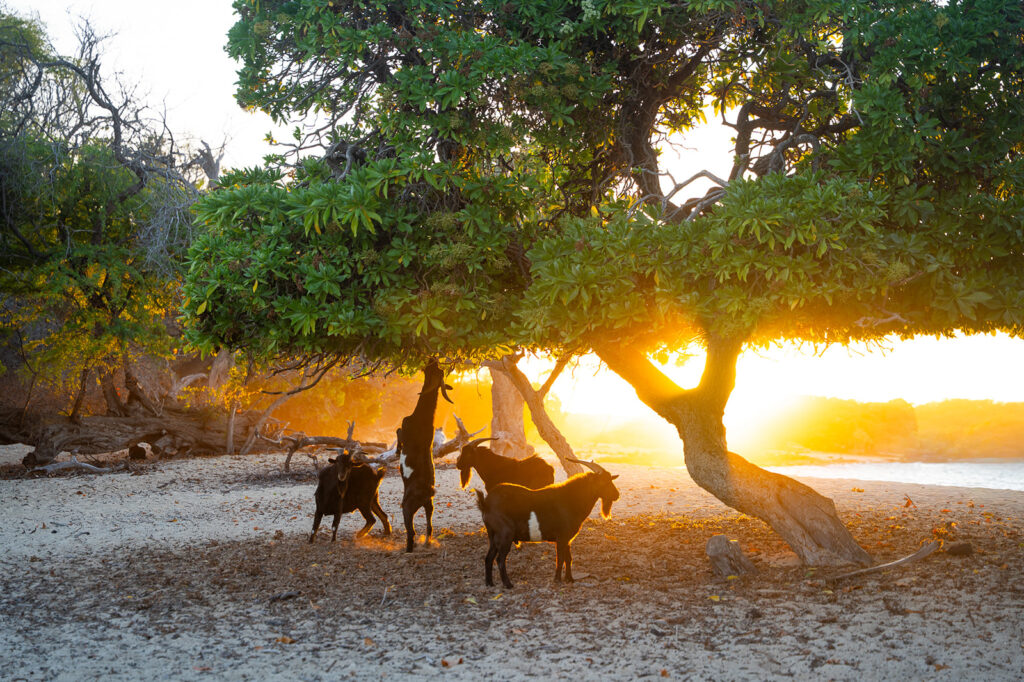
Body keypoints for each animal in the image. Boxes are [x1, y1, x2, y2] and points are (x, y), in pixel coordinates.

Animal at [398, 359, 452, 552]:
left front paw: (397, 450)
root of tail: (428, 491)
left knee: (411, 531)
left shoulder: (404, 429)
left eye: (434, 369)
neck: (423, 417)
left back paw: (408, 549)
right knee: (429, 527)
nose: (432, 359)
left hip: (407, 507)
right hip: (430, 506)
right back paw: (427, 543)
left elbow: (398, 433)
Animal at [474, 458, 620, 588]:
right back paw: (508, 584)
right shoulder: (562, 538)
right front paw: (557, 581)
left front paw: (570, 579)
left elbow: (568, 558)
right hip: (505, 534)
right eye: (603, 482)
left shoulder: (567, 539)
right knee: (500, 559)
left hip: (493, 535)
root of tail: (486, 503)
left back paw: (489, 583)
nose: (616, 495)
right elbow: (560, 559)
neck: (571, 499)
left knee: (488, 558)